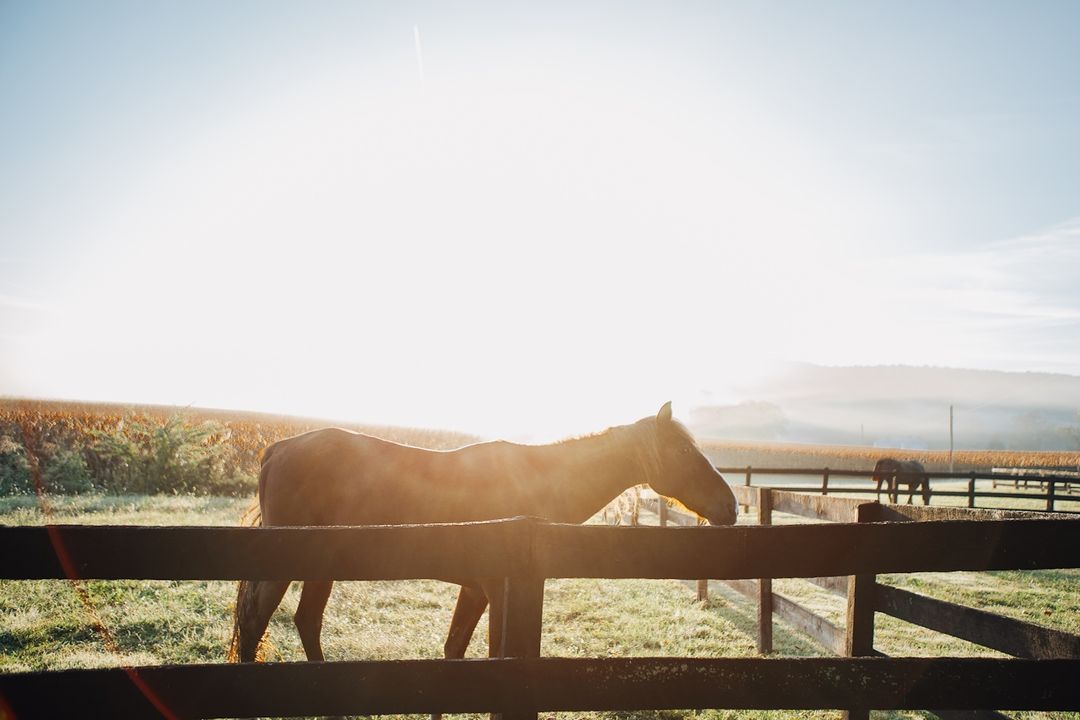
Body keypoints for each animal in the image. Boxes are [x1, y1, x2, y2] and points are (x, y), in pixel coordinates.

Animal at [229, 402, 737, 665]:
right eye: (682, 452)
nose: (730, 507)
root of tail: (278, 448)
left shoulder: (474, 591)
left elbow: (453, 652)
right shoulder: (500, 591)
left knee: (305, 622)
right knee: (257, 623)